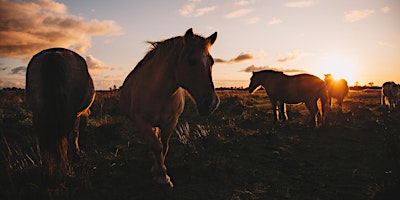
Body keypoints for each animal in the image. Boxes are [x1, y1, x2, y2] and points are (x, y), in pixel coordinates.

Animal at [26, 47, 96, 184]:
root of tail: (53, 54)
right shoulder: (76, 116)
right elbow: (75, 135)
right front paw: (77, 153)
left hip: (38, 114)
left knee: (44, 143)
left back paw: (48, 173)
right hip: (67, 115)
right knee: (62, 142)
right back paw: (63, 172)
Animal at [119, 27, 219, 187]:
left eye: (212, 62)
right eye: (191, 61)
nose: (211, 103)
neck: (159, 92)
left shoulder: (171, 122)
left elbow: (163, 146)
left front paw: (158, 170)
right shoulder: (142, 121)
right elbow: (156, 145)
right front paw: (162, 175)